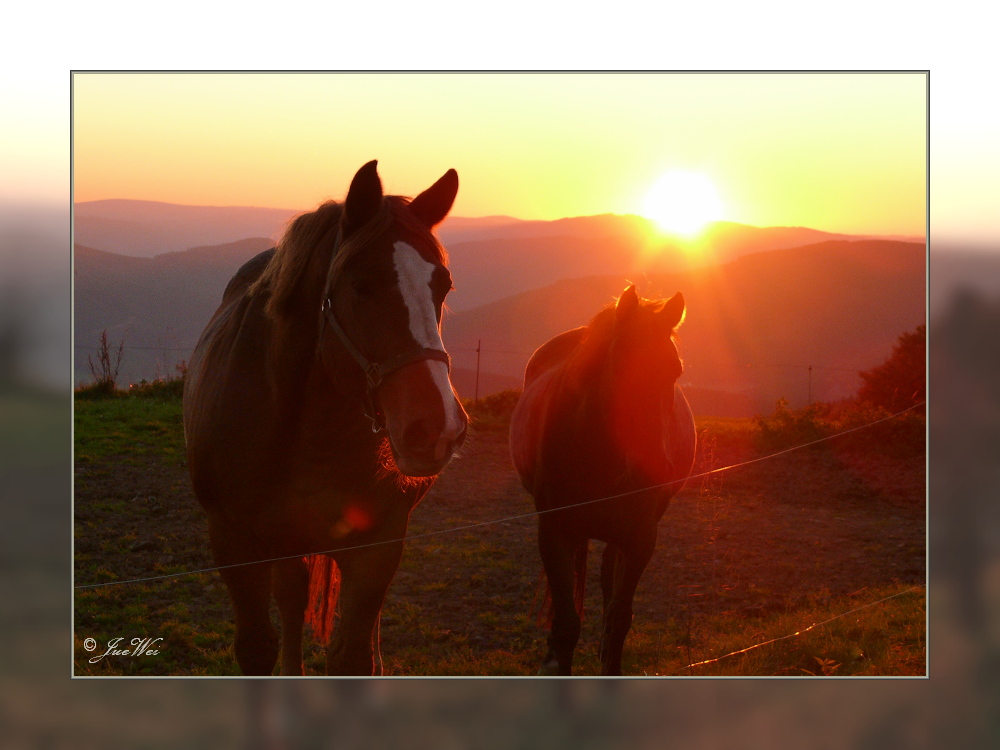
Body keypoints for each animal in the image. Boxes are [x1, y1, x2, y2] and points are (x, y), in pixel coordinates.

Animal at [182, 160, 466, 676]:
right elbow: (257, 647)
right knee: (292, 601)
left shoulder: (378, 543)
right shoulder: (236, 545)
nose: (437, 429)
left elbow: (353, 655)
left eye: (443, 286)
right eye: (360, 285)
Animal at [508, 286, 696, 676]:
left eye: (676, 371)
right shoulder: (554, 531)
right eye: (620, 368)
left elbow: (619, 616)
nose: (655, 469)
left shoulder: (641, 537)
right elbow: (566, 623)